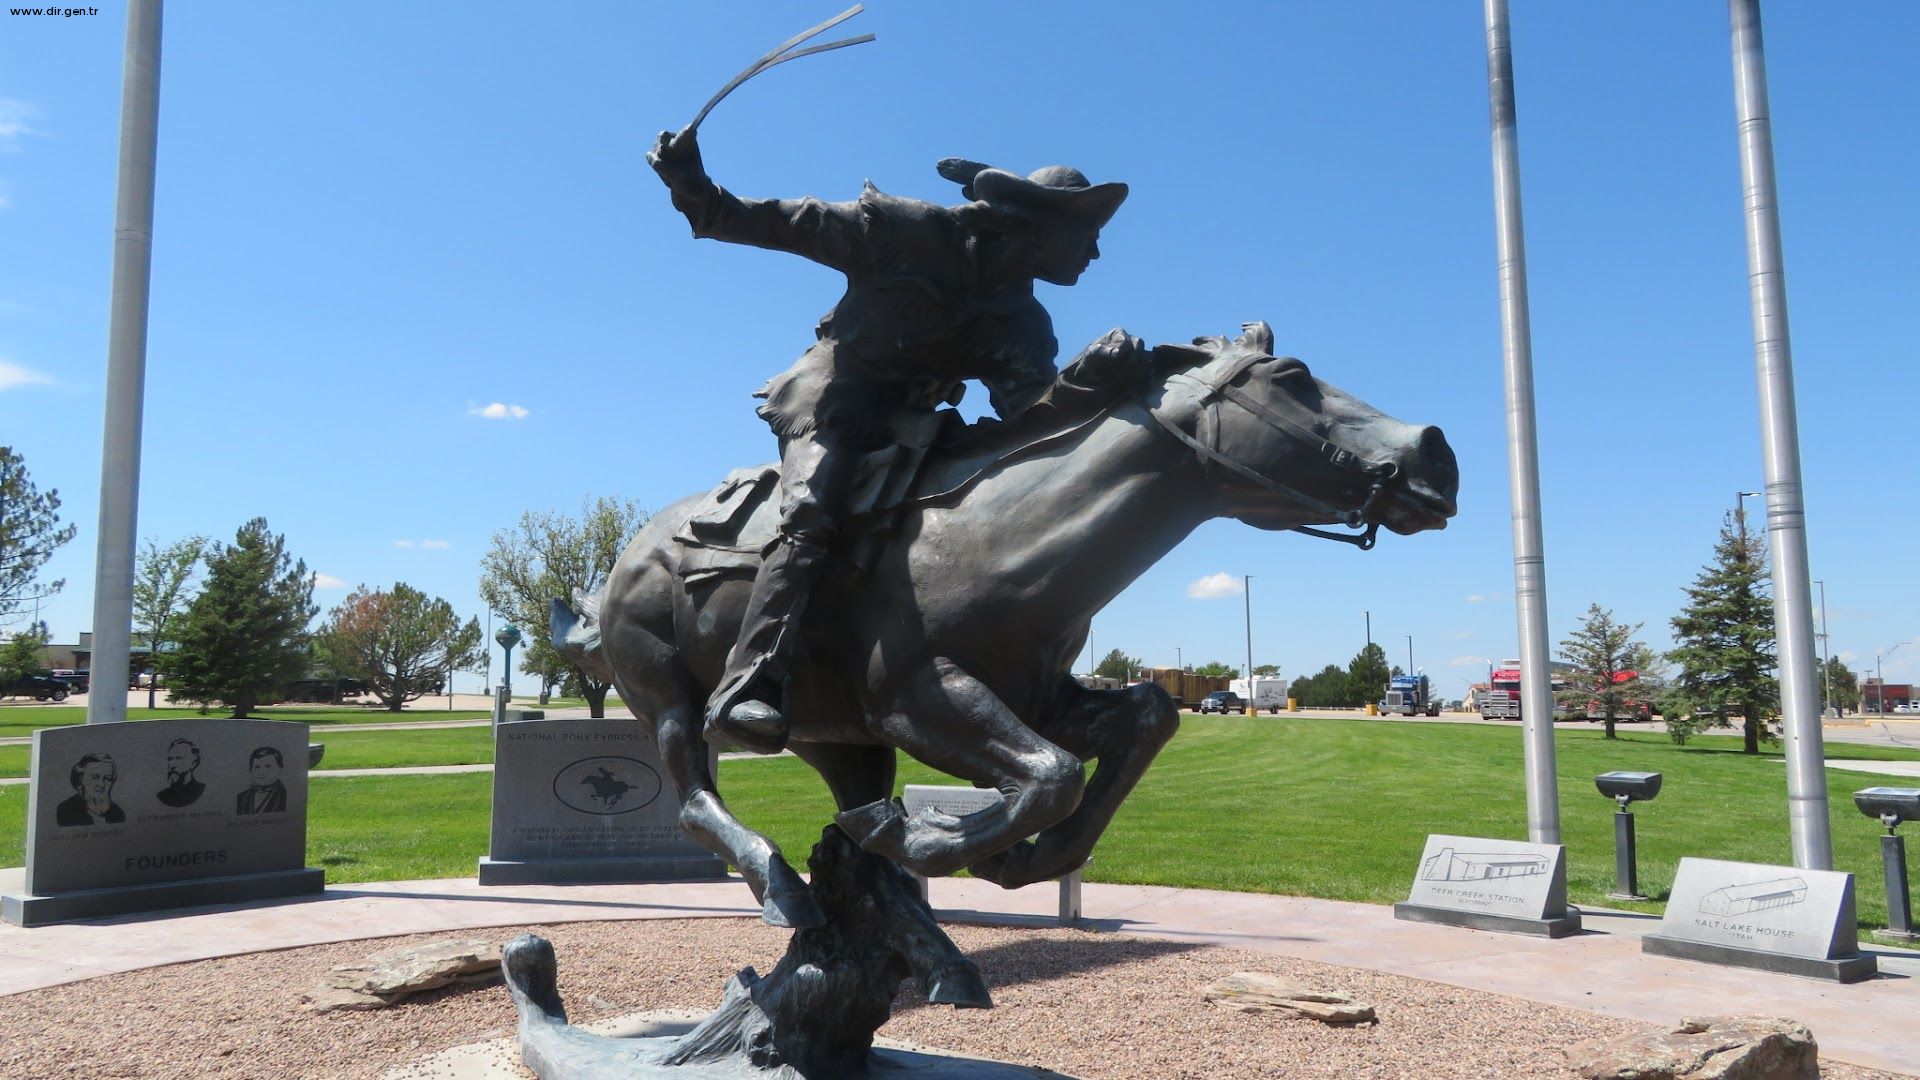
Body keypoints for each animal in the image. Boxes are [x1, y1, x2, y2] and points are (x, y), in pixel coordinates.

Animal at [556, 317, 1451, 926]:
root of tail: (626, 558)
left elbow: (1144, 721)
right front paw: (940, 840)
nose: (1435, 453)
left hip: (833, 734)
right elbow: (1052, 775)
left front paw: (1020, 857)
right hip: (672, 701)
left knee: (850, 808)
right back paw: (786, 889)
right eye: (1293, 376)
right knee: (695, 803)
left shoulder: (1037, 693)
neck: (1000, 532)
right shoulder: (918, 696)